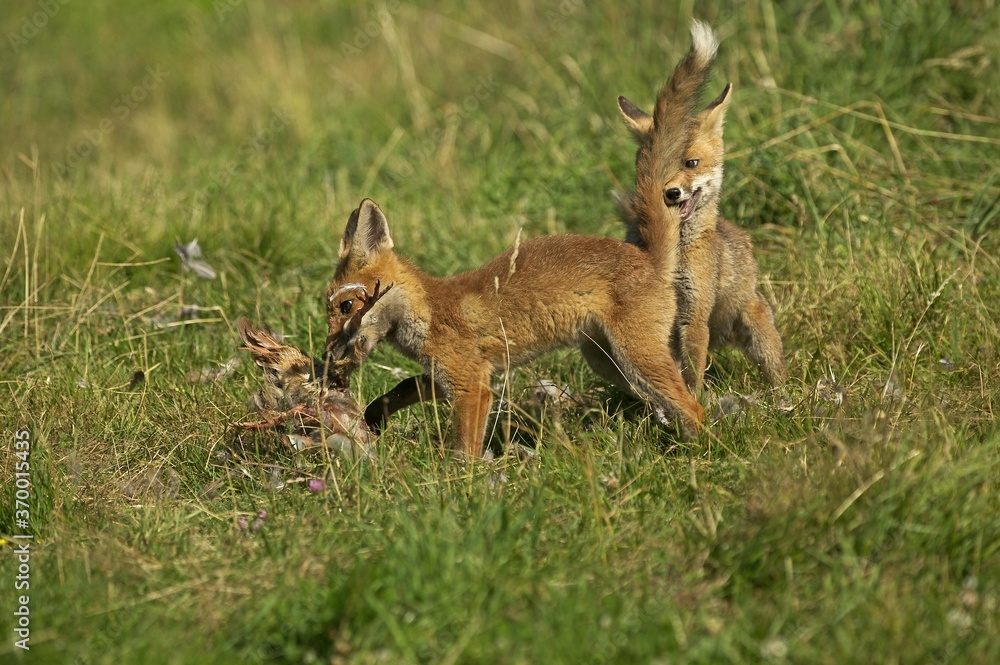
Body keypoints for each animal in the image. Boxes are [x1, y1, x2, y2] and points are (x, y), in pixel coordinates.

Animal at [326, 197, 704, 456]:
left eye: (346, 306)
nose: (327, 359)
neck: (429, 312)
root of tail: (648, 258)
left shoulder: (472, 388)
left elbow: (464, 450)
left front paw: (463, 485)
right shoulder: (455, 375)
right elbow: (404, 387)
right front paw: (375, 414)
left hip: (637, 356)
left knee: (693, 405)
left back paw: (698, 449)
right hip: (611, 364)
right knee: (664, 400)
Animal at [616, 20, 788, 392]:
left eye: (691, 163)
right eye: (648, 169)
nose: (670, 194)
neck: (676, 250)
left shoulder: (693, 314)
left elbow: (691, 373)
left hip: (758, 333)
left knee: (775, 371)